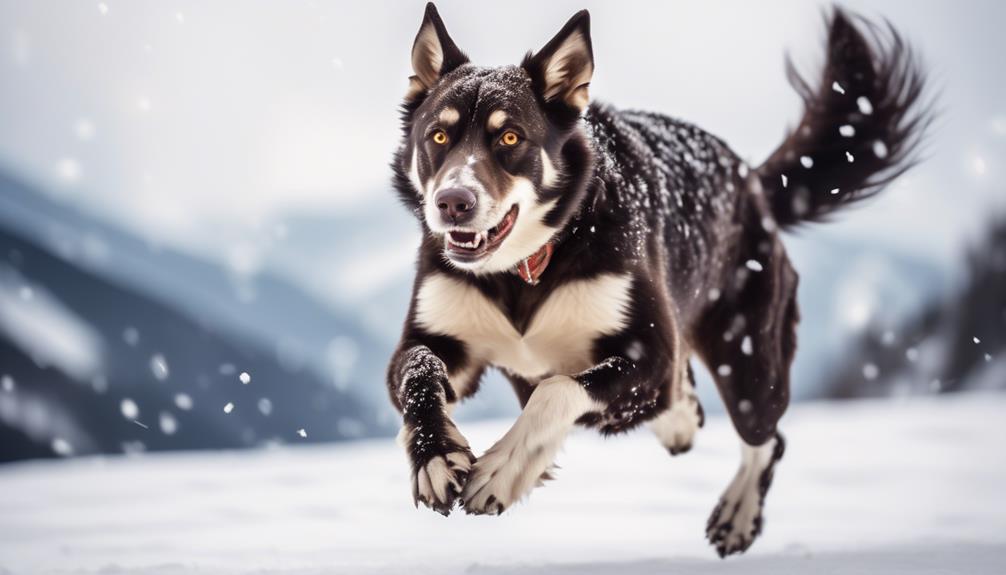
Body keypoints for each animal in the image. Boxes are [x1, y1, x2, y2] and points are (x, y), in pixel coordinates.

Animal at [384, 1, 925, 558]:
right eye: (439, 136)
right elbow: (418, 374)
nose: (453, 203)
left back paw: (738, 512)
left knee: (766, 437)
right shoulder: (437, 338)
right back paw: (681, 421)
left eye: (510, 137)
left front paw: (501, 471)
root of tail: (751, 181)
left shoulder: (649, 353)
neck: (527, 269)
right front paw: (435, 457)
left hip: (747, 358)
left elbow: (557, 390)